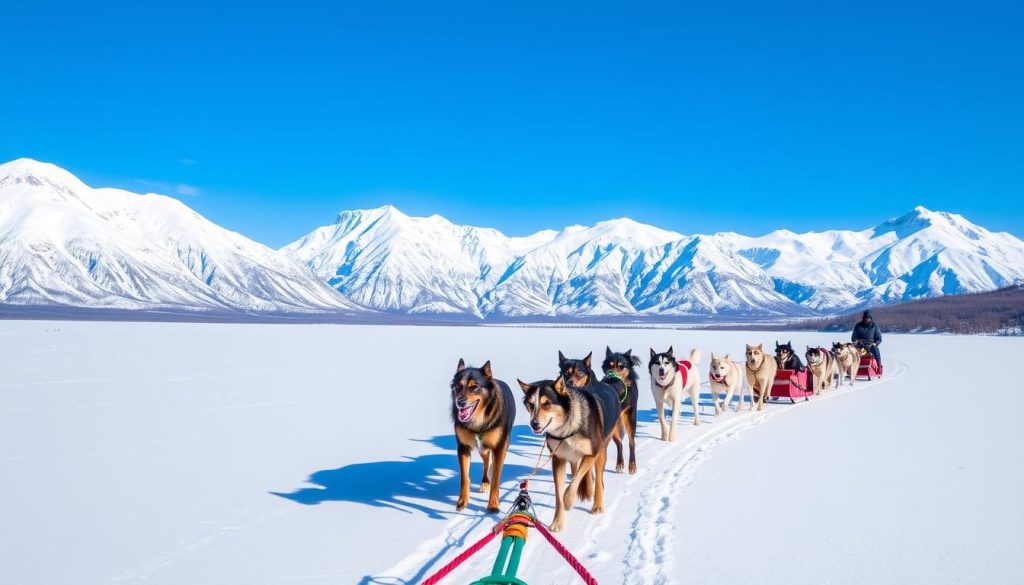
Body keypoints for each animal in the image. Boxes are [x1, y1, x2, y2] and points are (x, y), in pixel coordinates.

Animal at [450, 356, 516, 512]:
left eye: (474, 387)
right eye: (458, 386)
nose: (460, 402)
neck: (478, 420)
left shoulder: (499, 448)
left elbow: (496, 479)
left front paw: (493, 504)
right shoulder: (463, 448)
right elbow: (464, 477)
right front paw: (462, 501)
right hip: (482, 448)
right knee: (486, 463)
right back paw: (485, 482)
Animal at [516, 377, 618, 532]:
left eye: (547, 403)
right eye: (531, 404)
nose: (534, 424)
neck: (567, 430)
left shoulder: (592, 453)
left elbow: (574, 482)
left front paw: (568, 500)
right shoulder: (558, 459)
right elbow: (559, 492)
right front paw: (558, 522)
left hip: (600, 452)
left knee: (598, 480)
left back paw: (597, 504)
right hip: (573, 456)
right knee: (578, 470)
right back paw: (587, 489)